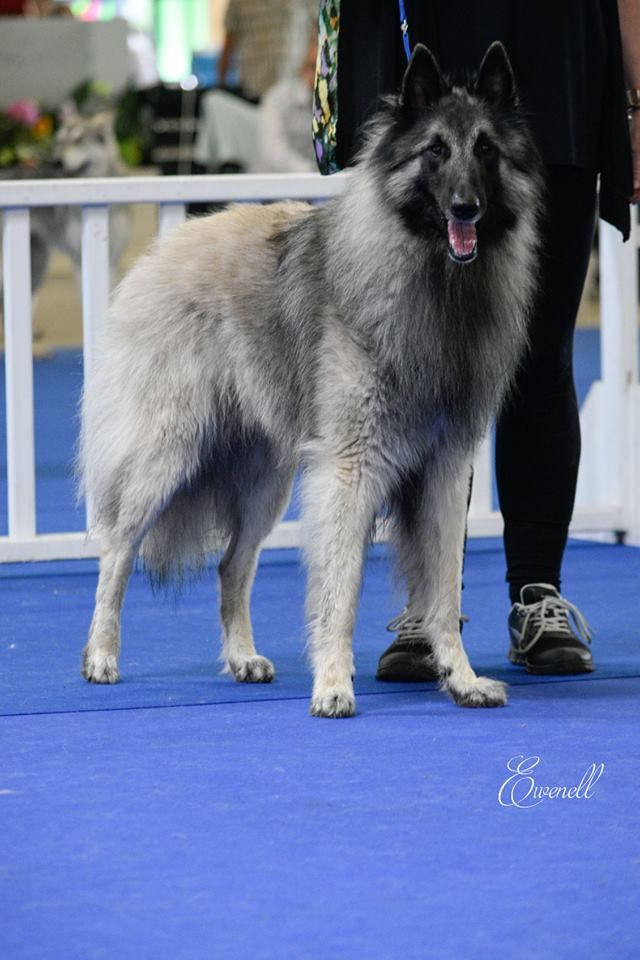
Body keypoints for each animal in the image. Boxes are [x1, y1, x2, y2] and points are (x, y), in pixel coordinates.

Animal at [77, 47, 544, 720]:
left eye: (485, 149)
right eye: (434, 150)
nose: (466, 208)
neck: (430, 278)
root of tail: (160, 252)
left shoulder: (445, 470)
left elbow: (443, 595)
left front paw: (461, 678)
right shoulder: (350, 467)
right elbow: (340, 587)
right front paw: (333, 684)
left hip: (264, 482)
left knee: (232, 564)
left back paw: (243, 657)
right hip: (165, 457)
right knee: (116, 551)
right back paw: (101, 656)